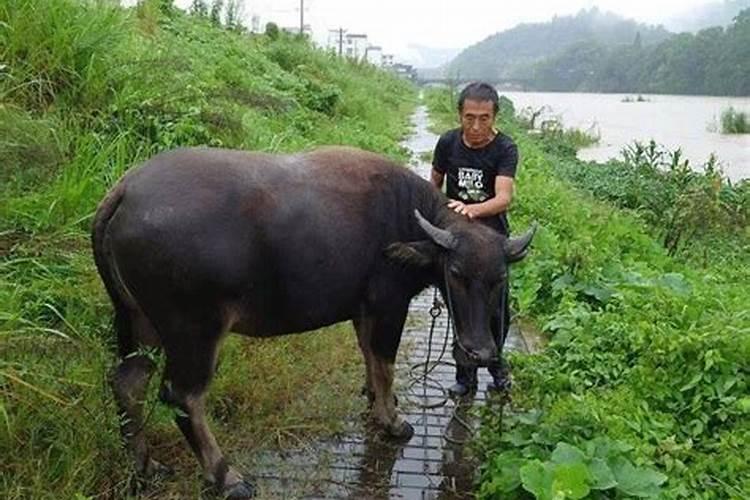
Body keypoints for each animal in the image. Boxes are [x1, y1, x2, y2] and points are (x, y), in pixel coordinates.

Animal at [91, 146, 536, 498]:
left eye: (500, 279)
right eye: (456, 274)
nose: (480, 351)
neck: (409, 224)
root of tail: (125, 190)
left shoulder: (363, 310)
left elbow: (369, 358)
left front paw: (376, 402)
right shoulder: (388, 306)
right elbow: (385, 363)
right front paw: (392, 421)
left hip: (141, 323)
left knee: (129, 381)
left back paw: (145, 466)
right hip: (194, 332)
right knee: (182, 395)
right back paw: (226, 477)